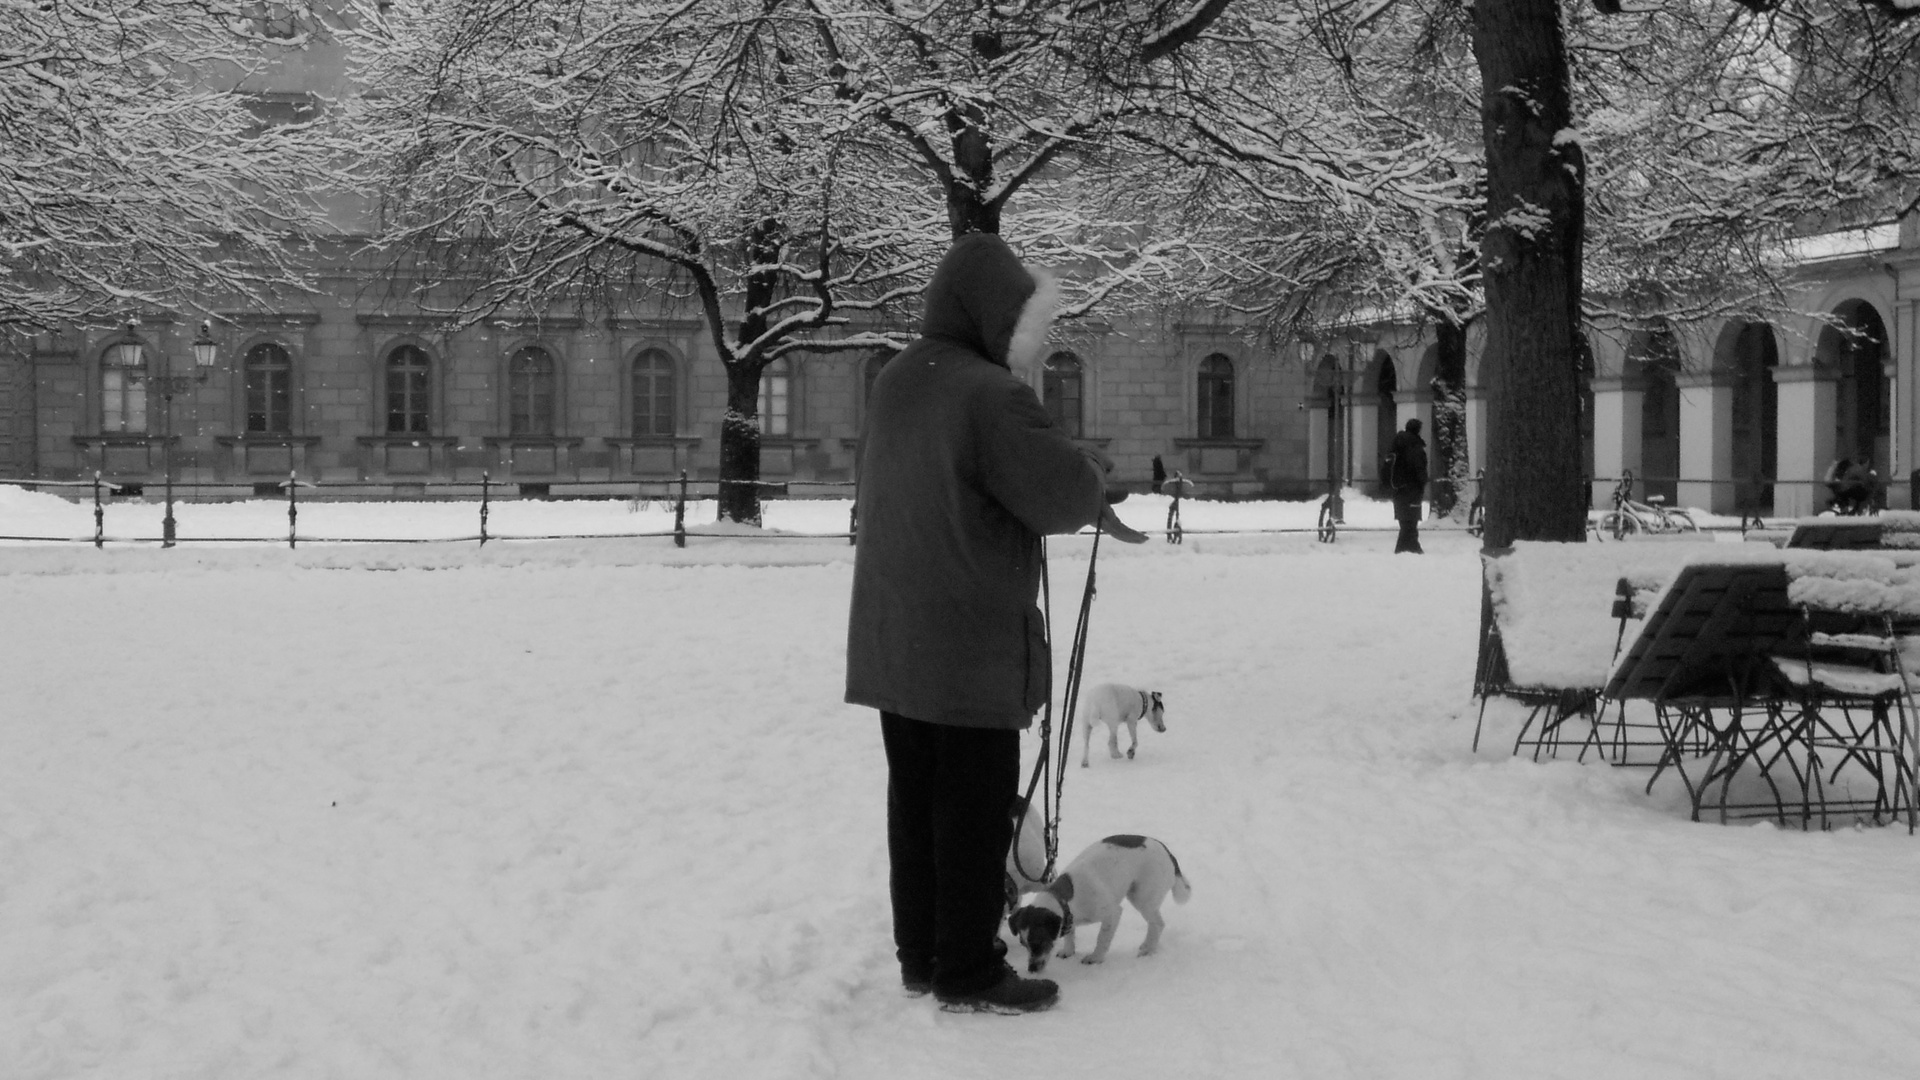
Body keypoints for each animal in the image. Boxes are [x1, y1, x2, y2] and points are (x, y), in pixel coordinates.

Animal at [1006, 826, 1182, 972]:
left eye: (1039, 942)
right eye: (1023, 943)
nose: (1032, 969)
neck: (1067, 899)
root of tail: (1166, 850)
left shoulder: (1112, 913)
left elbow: (1102, 938)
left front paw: (1096, 957)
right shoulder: (1069, 917)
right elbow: (1070, 934)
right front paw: (1068, 951)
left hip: (1142, 897)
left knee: (1158, 924)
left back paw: (1149, 949)